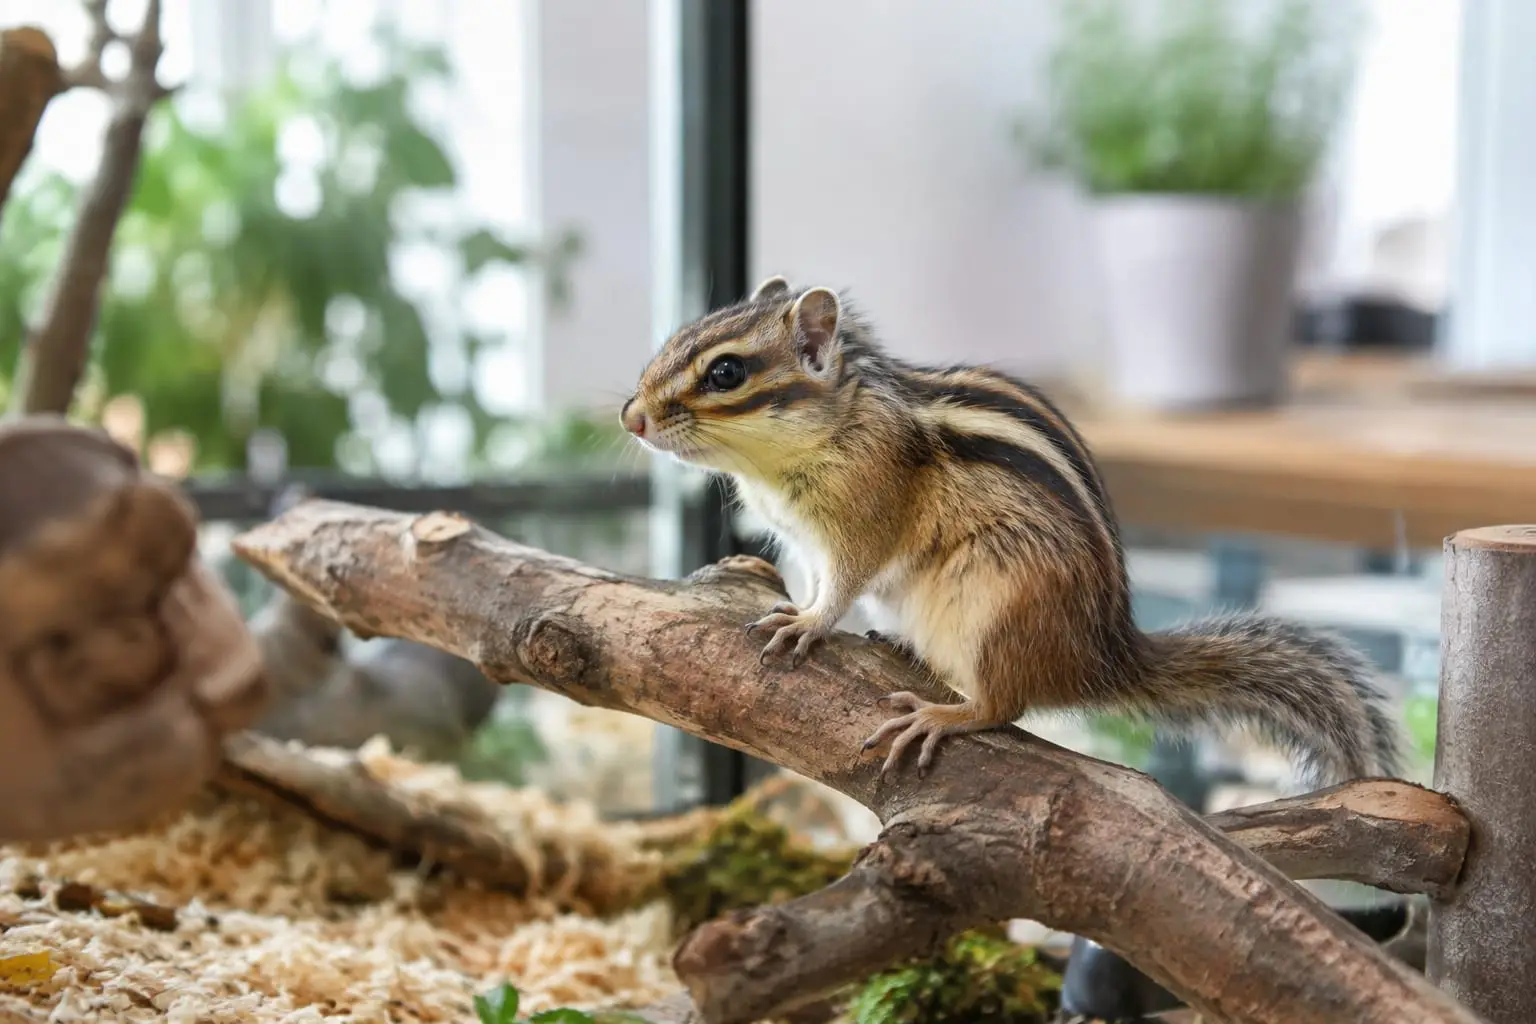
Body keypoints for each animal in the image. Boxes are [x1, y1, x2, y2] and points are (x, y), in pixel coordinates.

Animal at [621, 275, 1403, 784]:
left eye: (726, 372)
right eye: (675, 340)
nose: (631, 418)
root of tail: (1104, 655)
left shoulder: (863, 516)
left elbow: (845, 579)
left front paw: (808, 621)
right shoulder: (799, 534)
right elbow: (810, 573)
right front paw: (783, 595)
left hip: (997, 606)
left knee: (1005, 705)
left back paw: (943, 717)